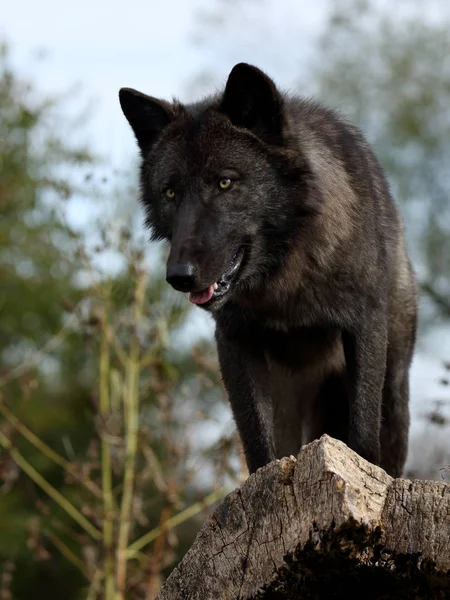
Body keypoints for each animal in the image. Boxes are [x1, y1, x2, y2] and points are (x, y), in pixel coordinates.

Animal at [119, 63, 418, 478]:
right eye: (170, 192)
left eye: (225, 182)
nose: (180, 275)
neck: (284, 285)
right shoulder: (235, 342)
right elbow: (258, 444)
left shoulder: (364, 327)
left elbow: (361, 433)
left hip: (394, 390)